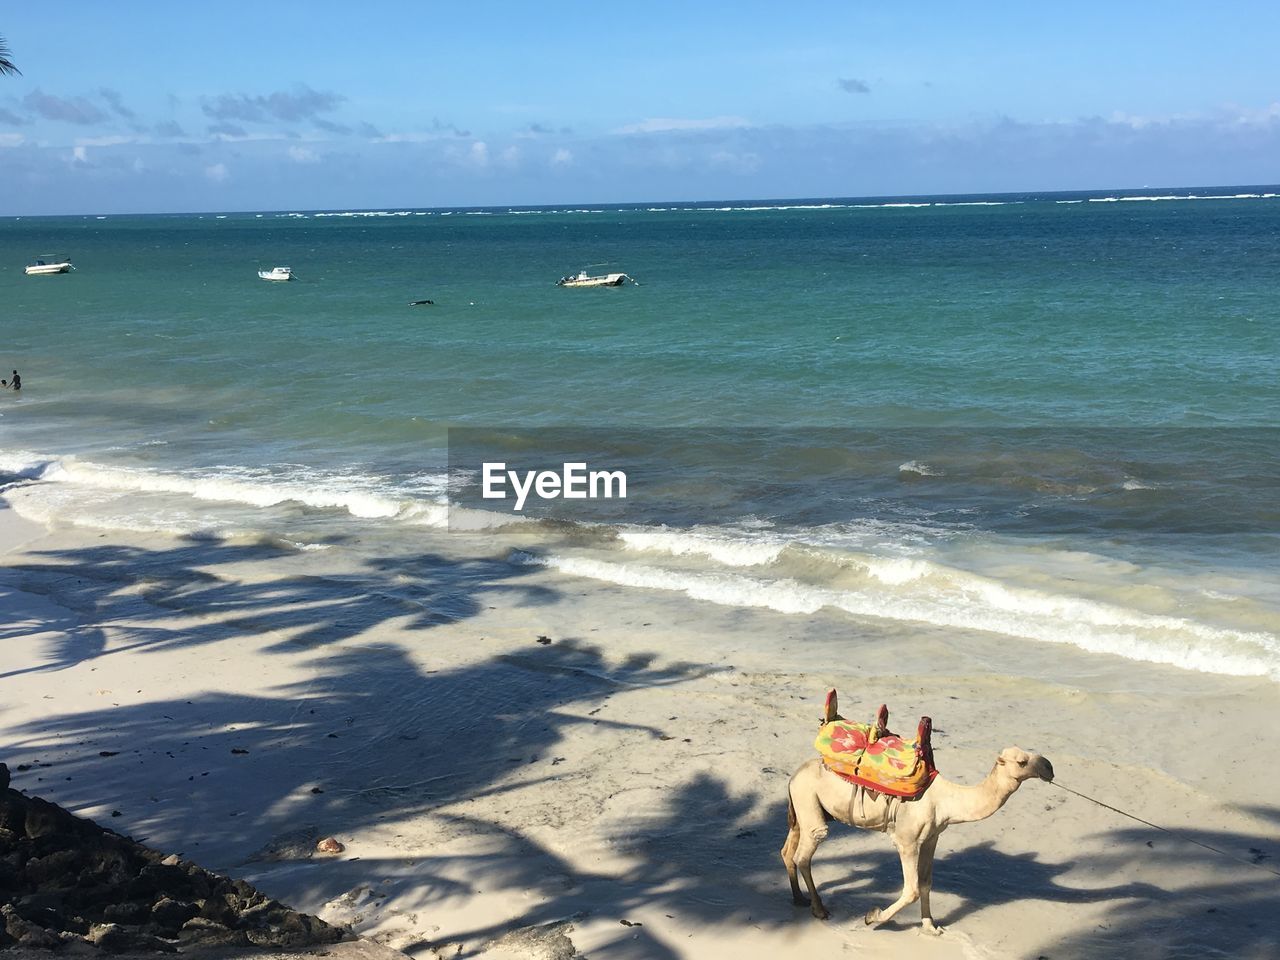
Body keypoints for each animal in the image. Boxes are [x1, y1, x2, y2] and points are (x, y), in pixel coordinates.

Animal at [783, 742, 1054, 931]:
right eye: (1022, 761)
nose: (1049, 767)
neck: (945, 799)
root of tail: (793, 776)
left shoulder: (932, 837)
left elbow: (925, 883)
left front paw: (930, 927)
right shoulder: (907, 840)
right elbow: (912, 889)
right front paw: (873, 917)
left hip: (804, 806)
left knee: (788, 851)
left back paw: (798, 899)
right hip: (809, 803)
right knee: (805, 853)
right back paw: (819, 910)